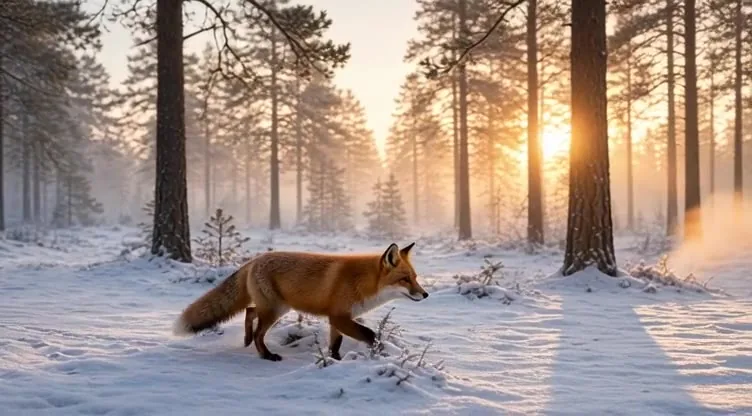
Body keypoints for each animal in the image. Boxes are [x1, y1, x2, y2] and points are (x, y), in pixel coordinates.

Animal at [172, 242, 428, 361]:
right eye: (405, 279)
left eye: (415, 278)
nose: (425, 295)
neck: (365, 284)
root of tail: (255, 260)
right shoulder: (339, 317)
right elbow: (371, 334)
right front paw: (379, 352)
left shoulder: (338, 320)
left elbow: (335, 345)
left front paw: (335, 361)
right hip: (275, 310)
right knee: (258, 332)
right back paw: (266, 356)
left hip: (276, 307)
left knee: (250, 311)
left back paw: (246, 339)